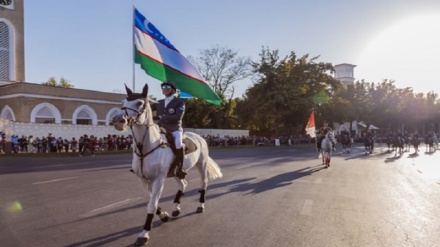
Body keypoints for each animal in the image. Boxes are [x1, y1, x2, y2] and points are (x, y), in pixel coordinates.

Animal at [113, 84, 223, 246]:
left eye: (139, 103)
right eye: (123, 102)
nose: (118, 121)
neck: (146, 146)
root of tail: (199, 137)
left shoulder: (159, 179)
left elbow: (152, 204)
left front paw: (144, 234)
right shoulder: (143, 179)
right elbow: (149, 200)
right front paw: (164, 215)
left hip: (201, 165)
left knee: (203, 184)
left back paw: (200, 206)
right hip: (177, 172)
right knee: (183, 184)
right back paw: (176, 208)